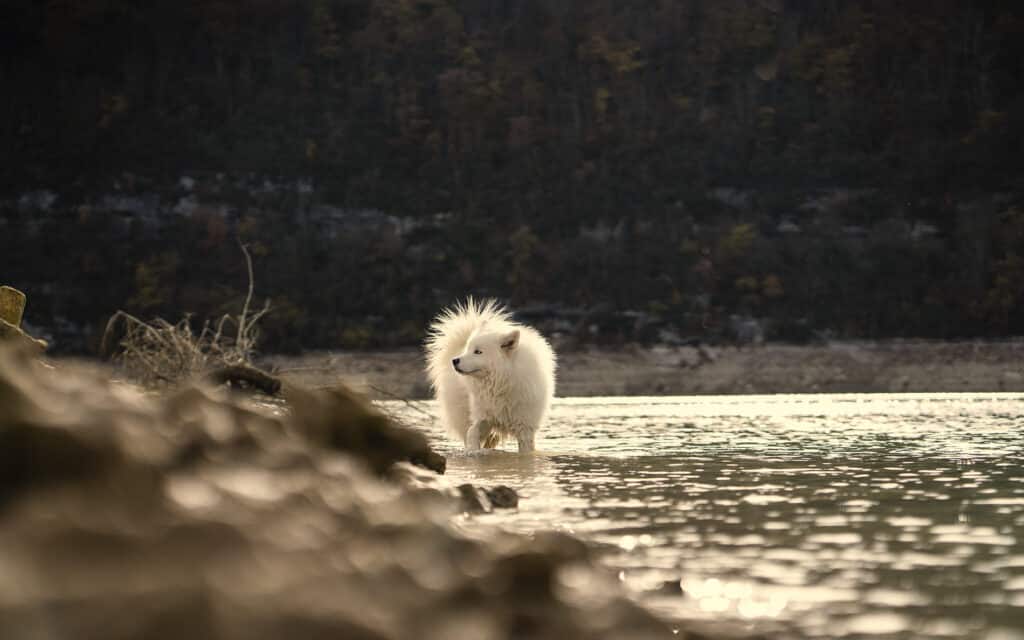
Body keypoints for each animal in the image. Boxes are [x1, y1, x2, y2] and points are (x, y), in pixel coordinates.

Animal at [423, 299, 557, 452]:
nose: (455, 361)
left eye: (478, 352)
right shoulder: (483, 418)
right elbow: (472, 432)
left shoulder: (525, 427)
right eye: (468, 349)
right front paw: (473, 452)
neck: (501, 383)